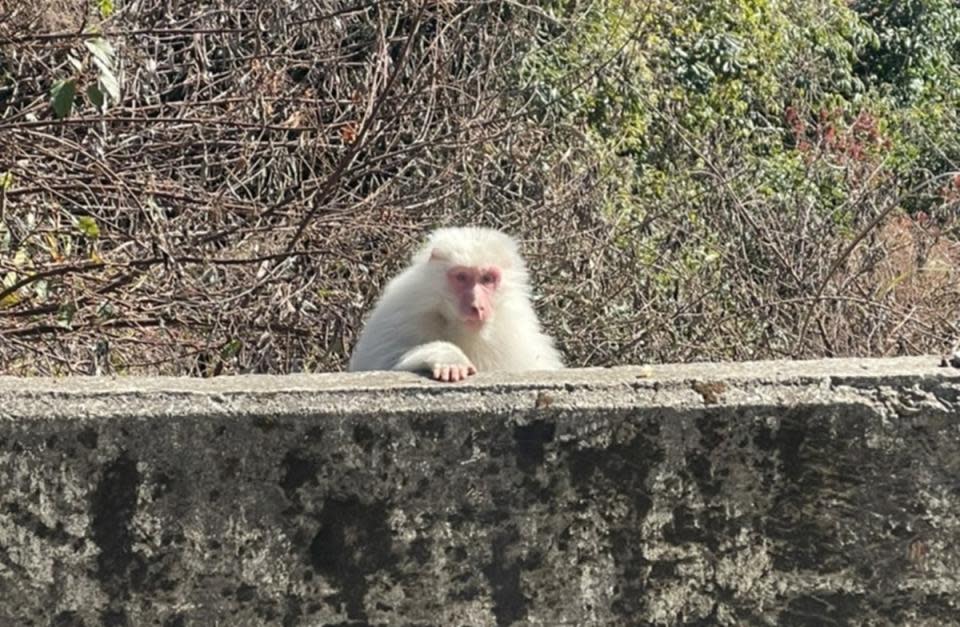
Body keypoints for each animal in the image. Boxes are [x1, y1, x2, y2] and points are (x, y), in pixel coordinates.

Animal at [350, 227, 564, 382]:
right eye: (462, 277)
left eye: (487, 279)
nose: (477, 306)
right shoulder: (405, 309)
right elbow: (378, 364)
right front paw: (448, 358)